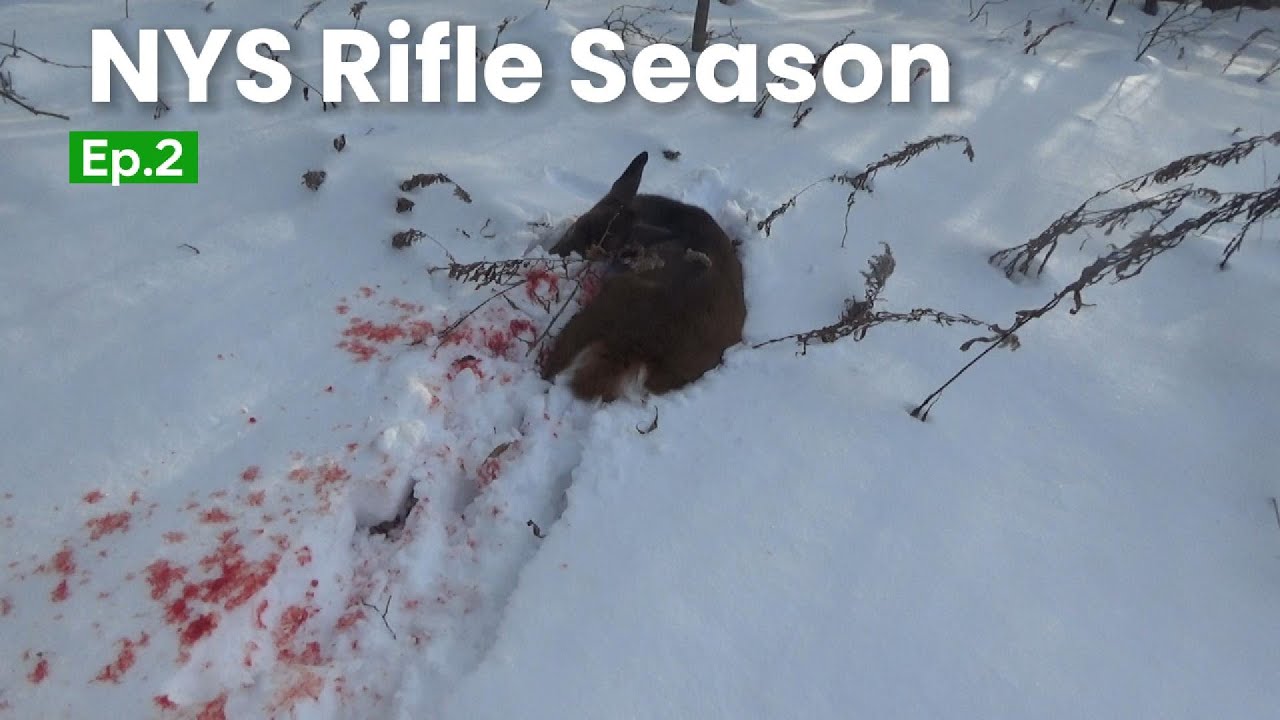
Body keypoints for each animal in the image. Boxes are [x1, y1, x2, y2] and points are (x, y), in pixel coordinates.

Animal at [540, 151, 747, 401]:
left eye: (599, 252)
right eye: (573, 230)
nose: (554, 254)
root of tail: (638, 343)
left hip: (610, 298)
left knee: (557, 362)